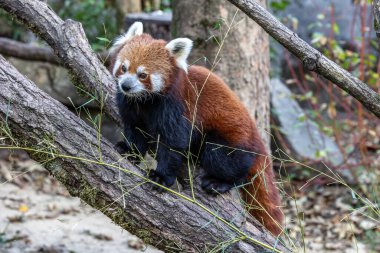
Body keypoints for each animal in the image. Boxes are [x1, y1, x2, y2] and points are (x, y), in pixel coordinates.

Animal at [109, 22, 282, 237]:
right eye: (124, 68)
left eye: (142, 75)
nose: (126, 85)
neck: (145, 102)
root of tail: (257, 139)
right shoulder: (130, 106)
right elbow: (134, 129)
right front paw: (129, 150)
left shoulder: (177, 107)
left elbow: (174, 143)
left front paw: (161, 176)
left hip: (231, 140)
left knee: (224, 159)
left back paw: (221, 182)